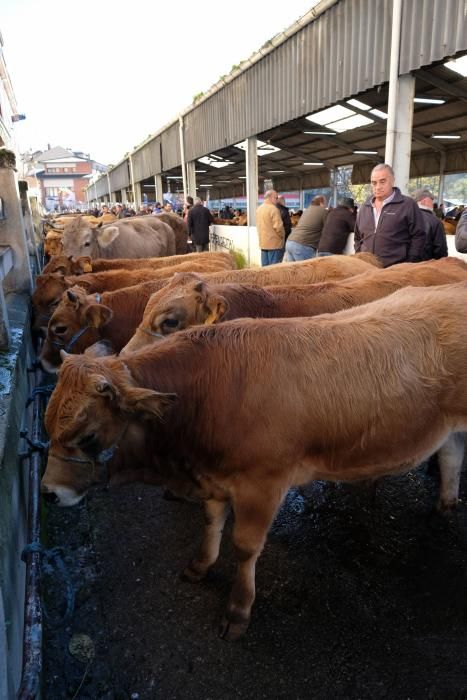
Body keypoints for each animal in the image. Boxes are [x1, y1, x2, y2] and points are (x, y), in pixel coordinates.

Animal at [41, 284, 467, 640]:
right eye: (47, 425)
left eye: (87, 437)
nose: (48, 493)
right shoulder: (213, 477)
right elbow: (211, 523)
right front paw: (201, 565)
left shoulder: (263, 484)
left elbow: (245, 547)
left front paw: (238, 609)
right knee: (451, 455)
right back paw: (444, 507)